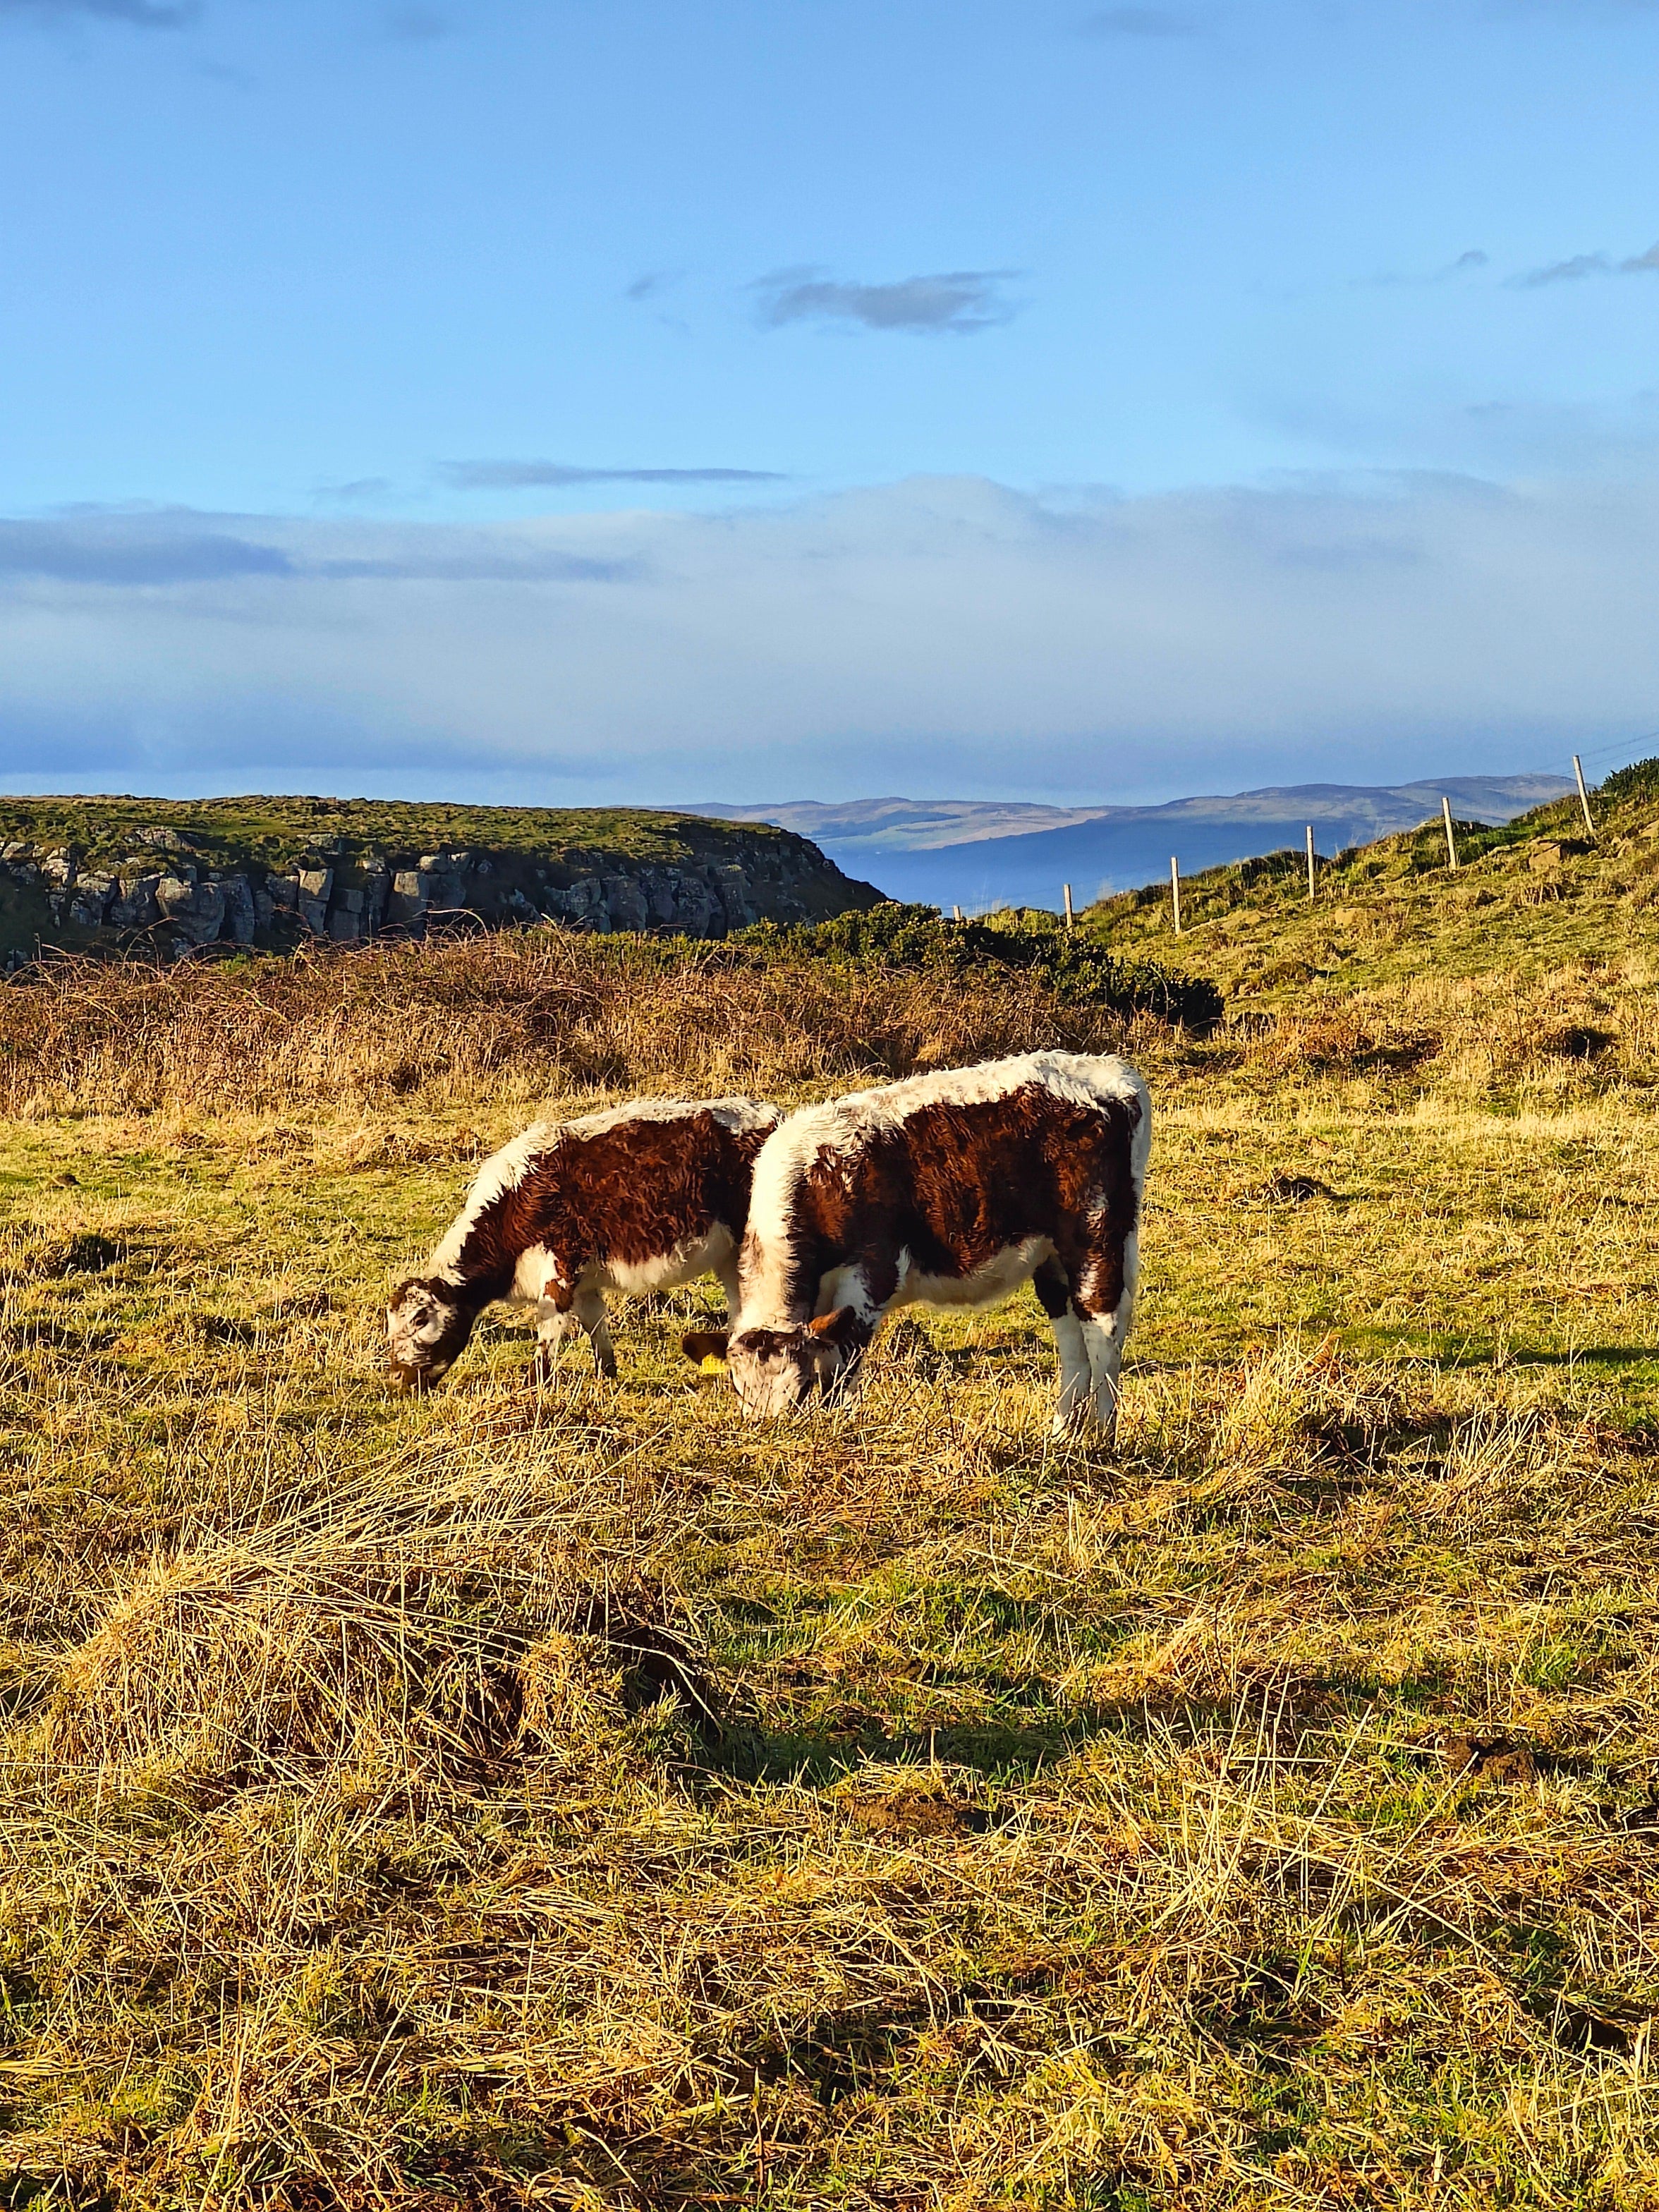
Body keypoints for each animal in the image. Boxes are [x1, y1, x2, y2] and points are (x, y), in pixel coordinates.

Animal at [387, 1096, 782, 1390]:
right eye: (390, 1325)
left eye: (421, 1318)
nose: (397, 1379)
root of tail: (770, 1114)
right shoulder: (585, 1280)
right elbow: (596, 1323)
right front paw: (607, 1375)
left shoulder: (559, 1268)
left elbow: (548, 1329)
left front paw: (533, 1386)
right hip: (729, 1254)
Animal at [682, 1052, 1150, 1439]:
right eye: (739, 1389)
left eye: (798, 1389)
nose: (770, 1431)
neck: (820, 1182)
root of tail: (1116, 1072)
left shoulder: (872, 1275)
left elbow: (844, 1368)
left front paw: (839, 1428)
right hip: (1052, 1255)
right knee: (1070, 1331)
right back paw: (1062, 1433)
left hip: (1097, 1233)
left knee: (1102, 1324)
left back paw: (1104, 1434)